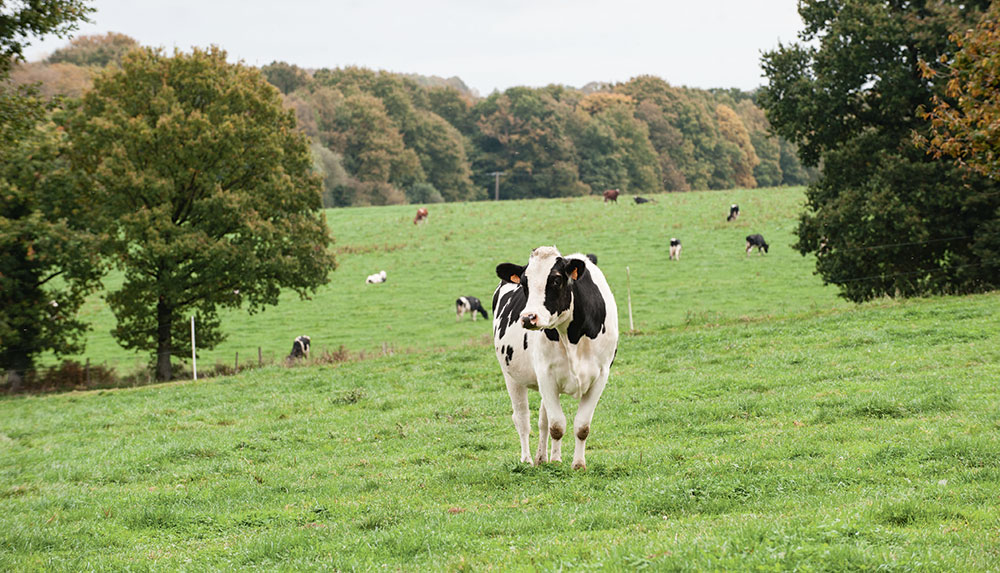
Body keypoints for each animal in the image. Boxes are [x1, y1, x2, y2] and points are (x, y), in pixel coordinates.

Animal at [492, 246, 616, 470]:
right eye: (524, 283)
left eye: (556, 280)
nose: (528, 317)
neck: (573, 335)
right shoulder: (545, 375)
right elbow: (557, 425)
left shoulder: (601, 376)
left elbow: (581, 427)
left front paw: (578, 465)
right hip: (510, 375)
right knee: (522, 419)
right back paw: (528, 459)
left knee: (543, 421)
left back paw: (547, 458)